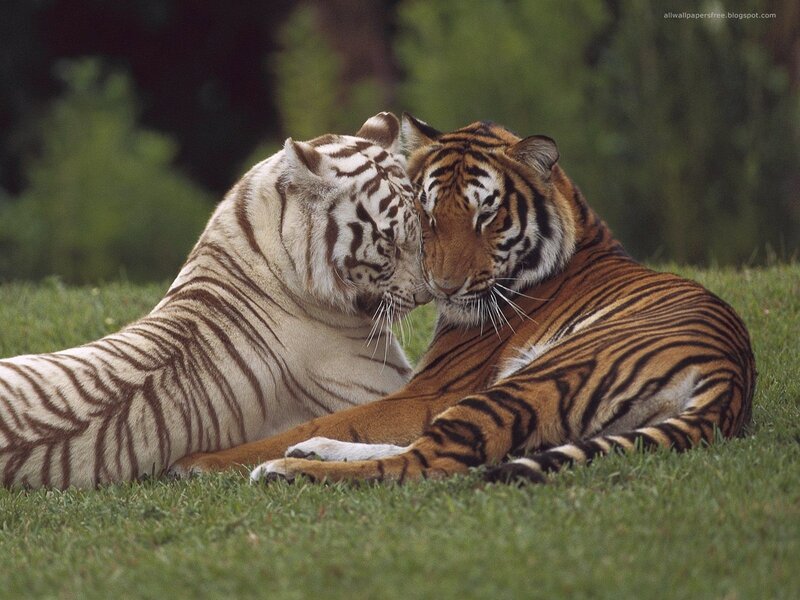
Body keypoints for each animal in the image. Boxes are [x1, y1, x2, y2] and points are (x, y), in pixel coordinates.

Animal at [170, 114, 755, 486]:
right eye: (427, 214)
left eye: (486, 216)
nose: (442, 288)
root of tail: (728, 377)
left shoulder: (431, 391)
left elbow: (329, 418)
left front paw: (199, 461)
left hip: (532, 381)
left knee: (425, 463)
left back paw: (288, 470)